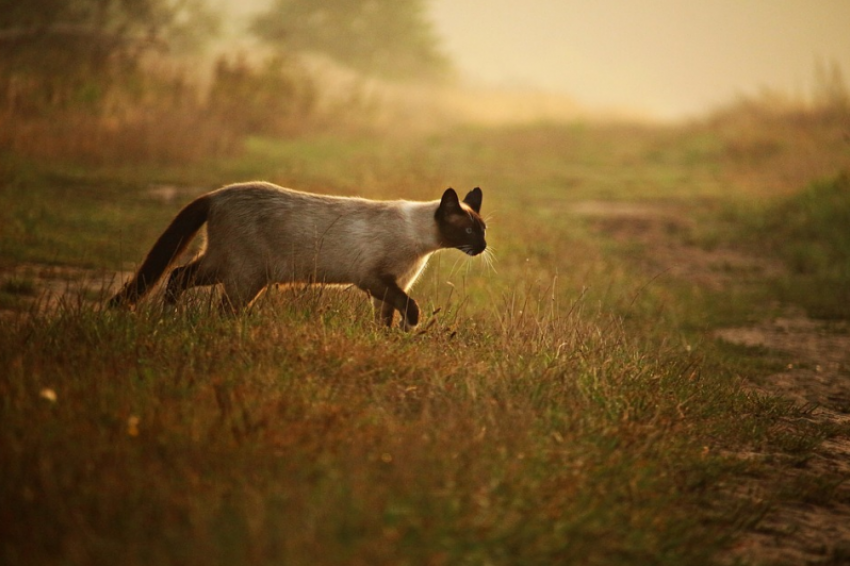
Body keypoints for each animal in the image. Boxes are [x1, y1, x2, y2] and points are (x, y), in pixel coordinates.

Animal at [109, 184, 486, 330]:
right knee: (221, 307)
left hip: (223, 265)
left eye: (483, 230)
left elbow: (386, 318)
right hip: (246, 276)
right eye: (469, 231)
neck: (421, 243)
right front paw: (411, 326)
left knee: (178, 275)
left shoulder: (392, 285)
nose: (482, 247)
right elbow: (410, 306)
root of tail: (217, 194)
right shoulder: (374, 280)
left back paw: (167, 316)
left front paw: (390, 339)